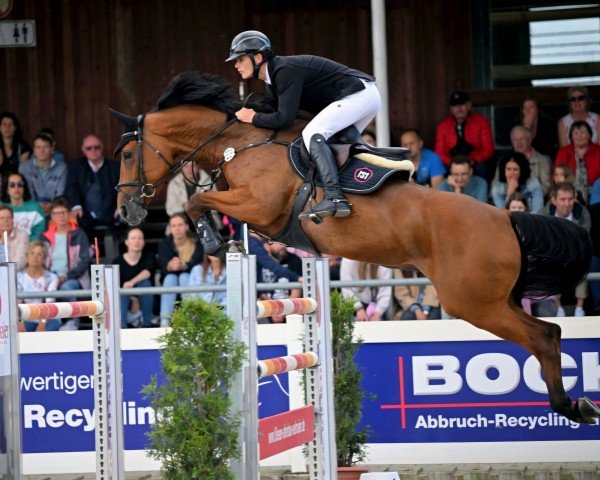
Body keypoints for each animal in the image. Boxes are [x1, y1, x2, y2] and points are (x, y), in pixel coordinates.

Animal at [110, 70, 596, 424]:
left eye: (128, 155)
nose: (124, 213)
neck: (240, 143)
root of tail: (505, 219)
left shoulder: (258, 206)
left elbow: (196, 200)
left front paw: (213, 239)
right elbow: (203, 199)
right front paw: (220, 237)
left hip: (472, 301)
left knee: (542, 336)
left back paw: (570, 407)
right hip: (495, 298)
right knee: (550, 333)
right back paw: (577, 405)